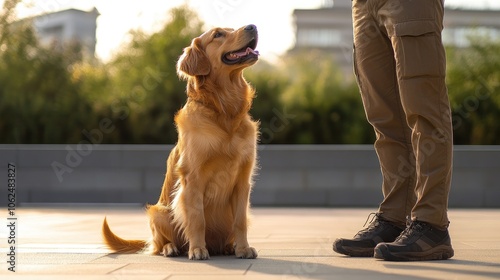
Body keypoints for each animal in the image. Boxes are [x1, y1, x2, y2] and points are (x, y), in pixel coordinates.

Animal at [100, 24, 260, 260]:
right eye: (218, 34)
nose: (253, 26)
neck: (224, 112)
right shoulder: (193, 178)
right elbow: (197, 219)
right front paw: (197, 249)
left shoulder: (243, 180)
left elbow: (240, 221)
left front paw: (243, 248)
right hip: (159, 212)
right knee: (159, 243)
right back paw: (172, 248)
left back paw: (228, 247)